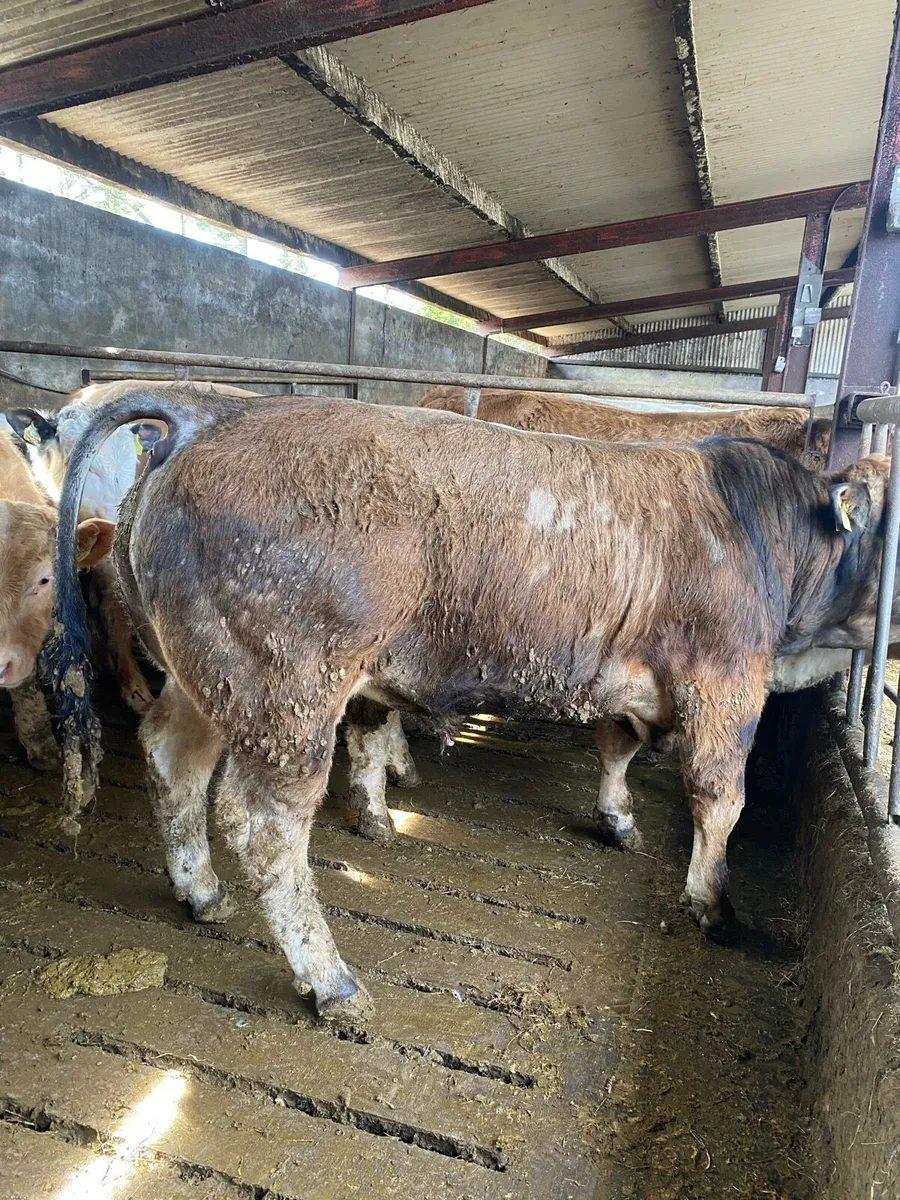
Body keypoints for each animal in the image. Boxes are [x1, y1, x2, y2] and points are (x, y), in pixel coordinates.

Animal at [47, 385, 898, 1022]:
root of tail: (210, 410)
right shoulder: (726, 682)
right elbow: (721, 798)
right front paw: (714, 904)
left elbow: (617, 749)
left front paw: (618, 818)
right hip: (286, 690)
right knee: (264, 825)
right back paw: (330, 979)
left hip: (207, 678)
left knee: (172, 758)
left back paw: (200, 890)